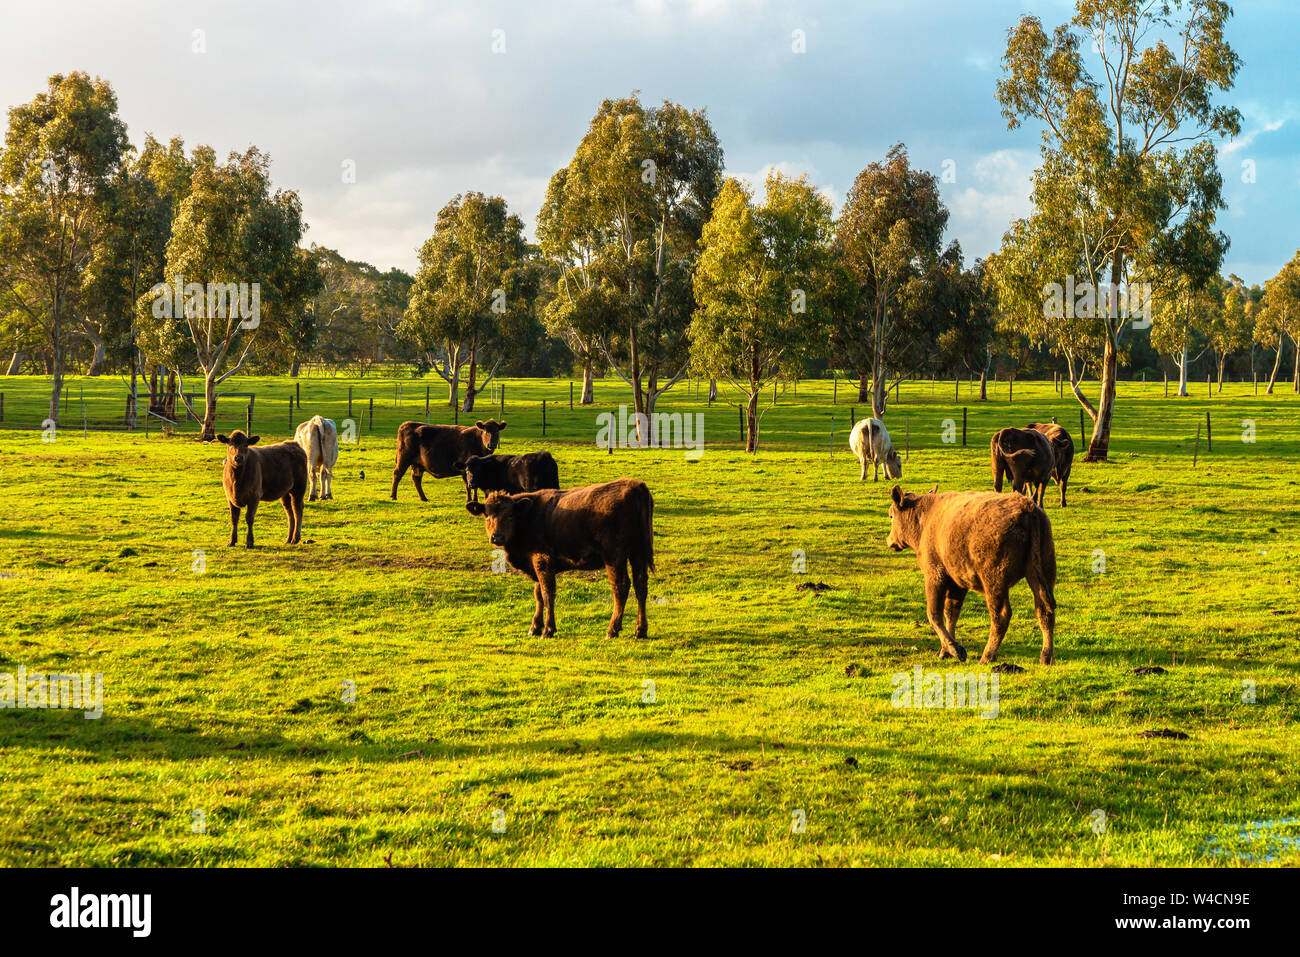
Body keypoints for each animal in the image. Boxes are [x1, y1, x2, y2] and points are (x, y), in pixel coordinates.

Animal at [465, 479, 655, 640]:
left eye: (510, 515)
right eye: (487, 515)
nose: (497, 537)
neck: (528, 516)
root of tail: (635, 486)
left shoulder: (542, 561)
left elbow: (547, 593)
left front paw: (548, 630)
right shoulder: (536, 564)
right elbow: (538, 594)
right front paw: (535, 627)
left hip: (614, 557)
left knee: (621, 587)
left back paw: (612, 630)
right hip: (638, 553)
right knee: (640, 586)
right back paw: (640, 631)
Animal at [887, 485, 1056, 665]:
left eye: (891, 516)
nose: (889, 540)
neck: (926, 518)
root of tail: (1028, 509)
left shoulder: (934, 576)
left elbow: (934, 614)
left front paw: (955, 649)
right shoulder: (958, 582)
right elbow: (951, 613)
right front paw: (946, 650)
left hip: (994, 582)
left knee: (1001, 616)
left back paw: (987, 656)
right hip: (1043, 574)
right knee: (1045, 611)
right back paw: (1046, 657)